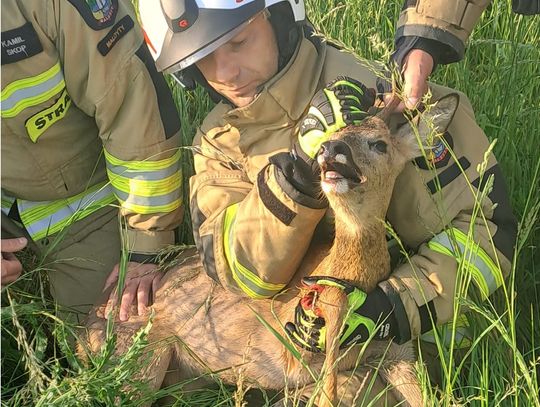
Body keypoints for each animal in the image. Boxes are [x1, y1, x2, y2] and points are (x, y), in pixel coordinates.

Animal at [81, 94, 460, 406]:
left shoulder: (398, 352)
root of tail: (85, 328)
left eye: (380, 144)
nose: (330, 148)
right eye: (331, 132)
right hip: (143, 360)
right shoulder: (303, 355)